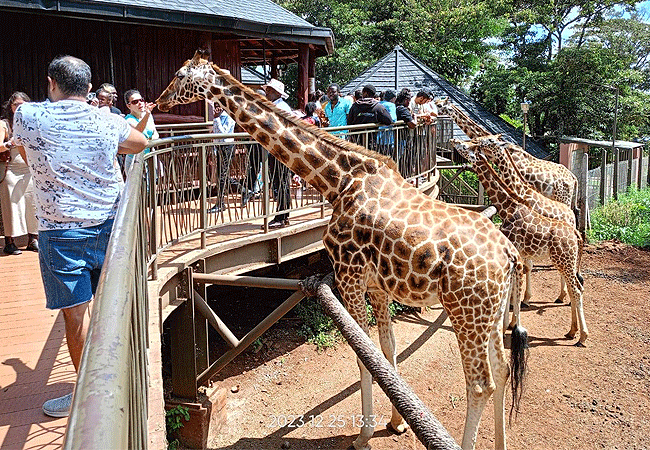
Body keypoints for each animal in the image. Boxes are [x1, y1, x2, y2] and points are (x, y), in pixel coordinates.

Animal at [156, 50, 528, 450]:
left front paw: (363, 434)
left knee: (480, 384)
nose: (159, 101)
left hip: (466, 312)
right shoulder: (377, 286)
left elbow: (363, 355)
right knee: (503, 368)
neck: (338, 181)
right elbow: (386, 349)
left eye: (180, 75)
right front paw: (395, 422)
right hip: (490, 313)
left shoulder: (348, 276)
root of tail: (509, 255)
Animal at [468, 135, 576, 306]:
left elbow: (526, 266)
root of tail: (571, 214)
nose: (477, 143)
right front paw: (522, 298)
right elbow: (525, 266)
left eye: (490, 141)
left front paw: (521, 299)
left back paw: (563, 297)